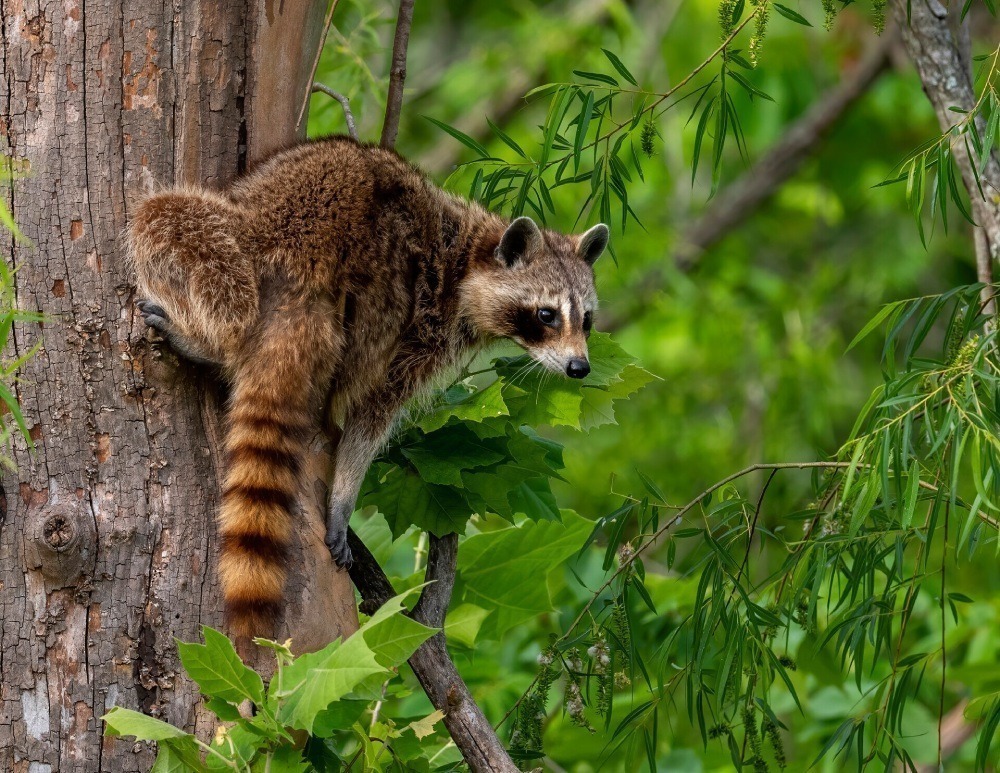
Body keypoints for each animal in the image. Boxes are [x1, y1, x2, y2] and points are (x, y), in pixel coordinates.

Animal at [128, 136, 604, 636]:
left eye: (586, 320)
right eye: (546, 315)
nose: (579, 367)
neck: (468, 253)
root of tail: (306, 273)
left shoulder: (424, 330)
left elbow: (375, 411)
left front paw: (343, 492)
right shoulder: (429, 318)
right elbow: (375, 410)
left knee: (160, 216)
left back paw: (212, 346)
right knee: (159, 213)